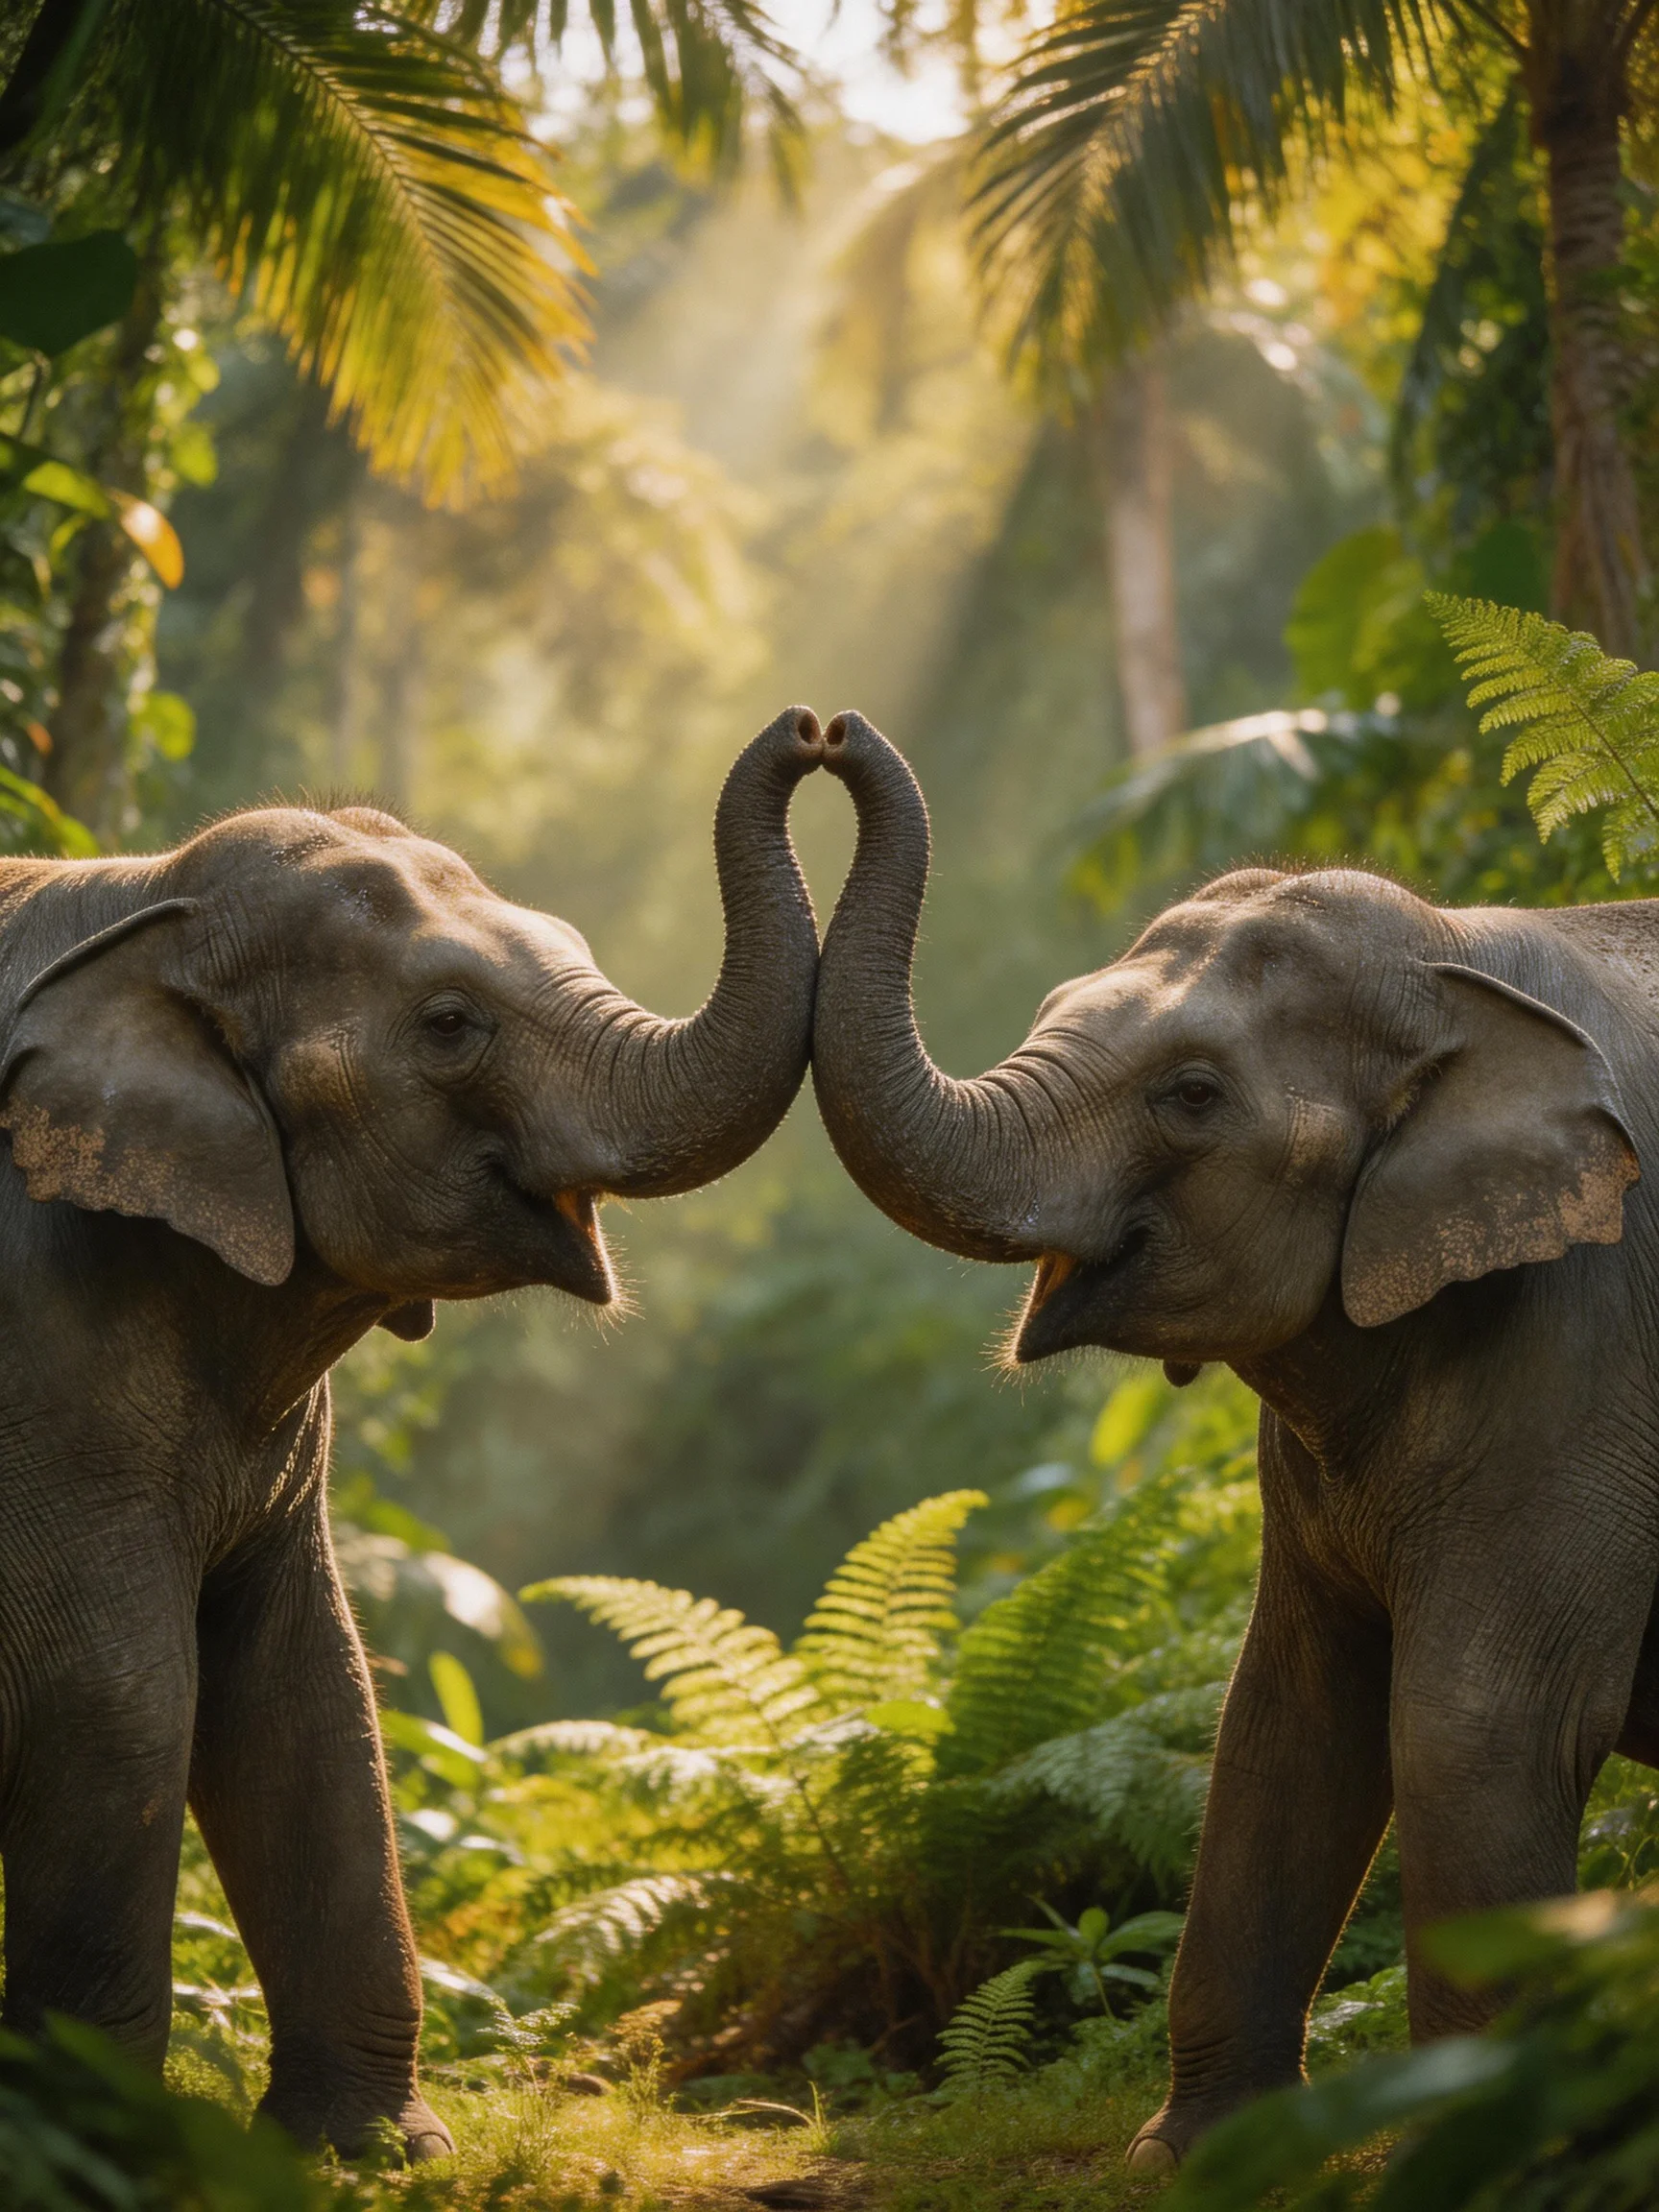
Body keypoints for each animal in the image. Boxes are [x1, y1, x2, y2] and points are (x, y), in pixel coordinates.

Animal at [0, 705, 824, 2159]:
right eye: (448, 1024)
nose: (818, 729)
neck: (140, 896)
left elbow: (305, 1689)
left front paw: (372, 2153)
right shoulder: (42, 1332)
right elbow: (117, 1696)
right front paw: (86, 2151)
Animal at [809, 710, 1659, 2171]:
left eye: (1192, 1095)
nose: (821, 730)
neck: (1465, 955)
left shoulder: (1588, 1342)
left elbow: (1476, 1729)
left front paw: (1468, 2151)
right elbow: (1285, 1720)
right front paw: (1195, 2157)